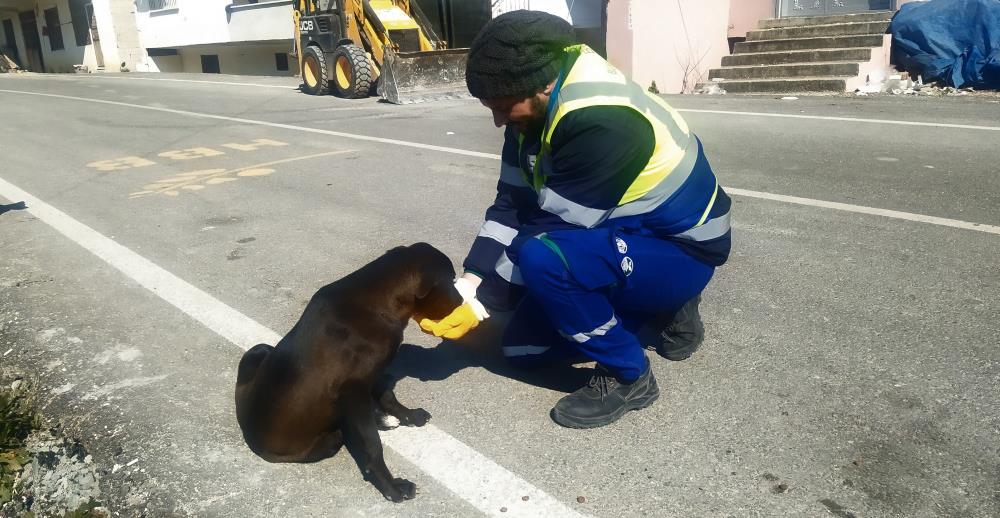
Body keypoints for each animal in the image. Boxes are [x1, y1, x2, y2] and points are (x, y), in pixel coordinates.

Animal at [235, 244, 464, 504]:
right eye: (451, 280)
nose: (462, 302)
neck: (379, 305)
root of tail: (249, 435)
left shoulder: (374, 372)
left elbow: (388, 396)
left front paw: (407, 415)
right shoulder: (354, 390)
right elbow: (372, 445)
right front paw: (391, 487)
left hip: (260, 349)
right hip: (327, 439)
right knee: (341, 432)